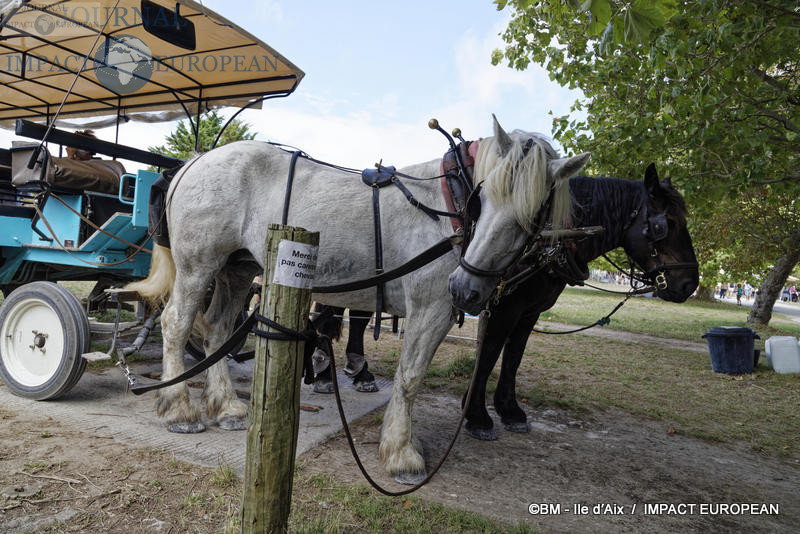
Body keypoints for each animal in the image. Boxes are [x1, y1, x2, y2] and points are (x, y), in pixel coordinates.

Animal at [125, 117, 588, 486]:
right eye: (483, 196)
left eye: (533, 214)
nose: (465, 288)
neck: (448, 202)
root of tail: (194, 161)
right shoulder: (430, 308)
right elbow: (410, 378)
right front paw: (401, 453)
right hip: (199, 265)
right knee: (176, 323)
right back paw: (179, 410)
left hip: (238, 270)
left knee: (218, 329)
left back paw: (228, 408)